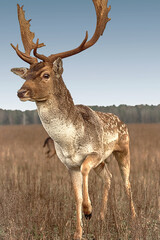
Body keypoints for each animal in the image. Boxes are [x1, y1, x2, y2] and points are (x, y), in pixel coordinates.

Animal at [10, 0, 136, 239]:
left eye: (45, 75)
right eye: (26, 74)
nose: (21, 92)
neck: (69, 142)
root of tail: (120, 120)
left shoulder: (93, 153)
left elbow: (86, 171)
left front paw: (88, 210)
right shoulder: (69, 165)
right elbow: (76, 196)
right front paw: (79, 230)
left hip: (123, 149)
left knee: (126, 181)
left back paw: (134, 217)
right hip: (104, 161)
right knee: (108, 178)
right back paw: (103, 216)